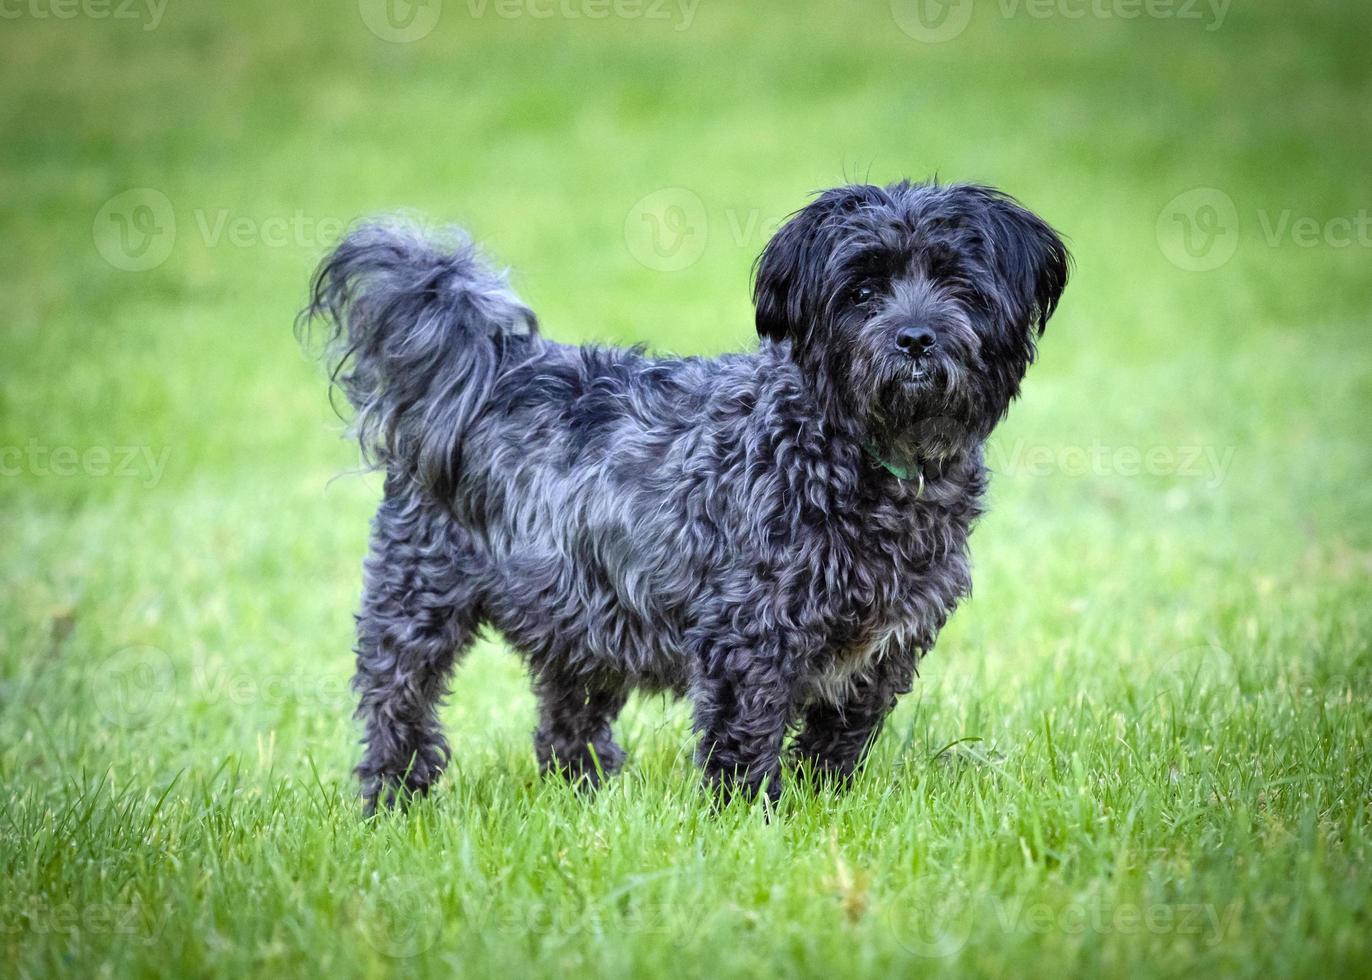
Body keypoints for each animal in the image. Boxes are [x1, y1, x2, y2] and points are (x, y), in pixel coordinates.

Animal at [300, 177, 1070, 807]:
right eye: (861, 291)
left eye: (959, 283)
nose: (915, 337)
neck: (861, 454)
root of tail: (495, 365)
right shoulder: (748, 633)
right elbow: (744, 739)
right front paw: (753, 818)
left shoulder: (882, 652)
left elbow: (840, 739)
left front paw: (825, 803)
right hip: (419, 599)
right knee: (398, 705)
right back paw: (391, 800)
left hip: (581, 613)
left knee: (565, 721)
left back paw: (587, 794)